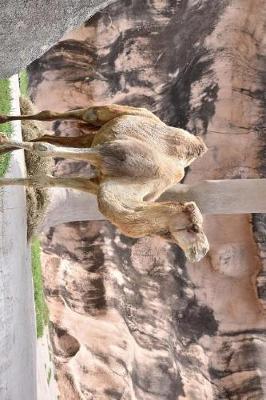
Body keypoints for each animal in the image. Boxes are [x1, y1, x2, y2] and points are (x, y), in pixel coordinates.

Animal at [0, 104, 209, 262]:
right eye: (195, 227)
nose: (201, 252)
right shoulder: (108, 153)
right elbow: (44, 149)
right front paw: (4, 140)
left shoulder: (94, 184)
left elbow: (41, 179)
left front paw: (3, 181)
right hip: (102, 115)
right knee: (56, 116)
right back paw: (3, 126)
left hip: (92, 137)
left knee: (51, 135)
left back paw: (4, 147)